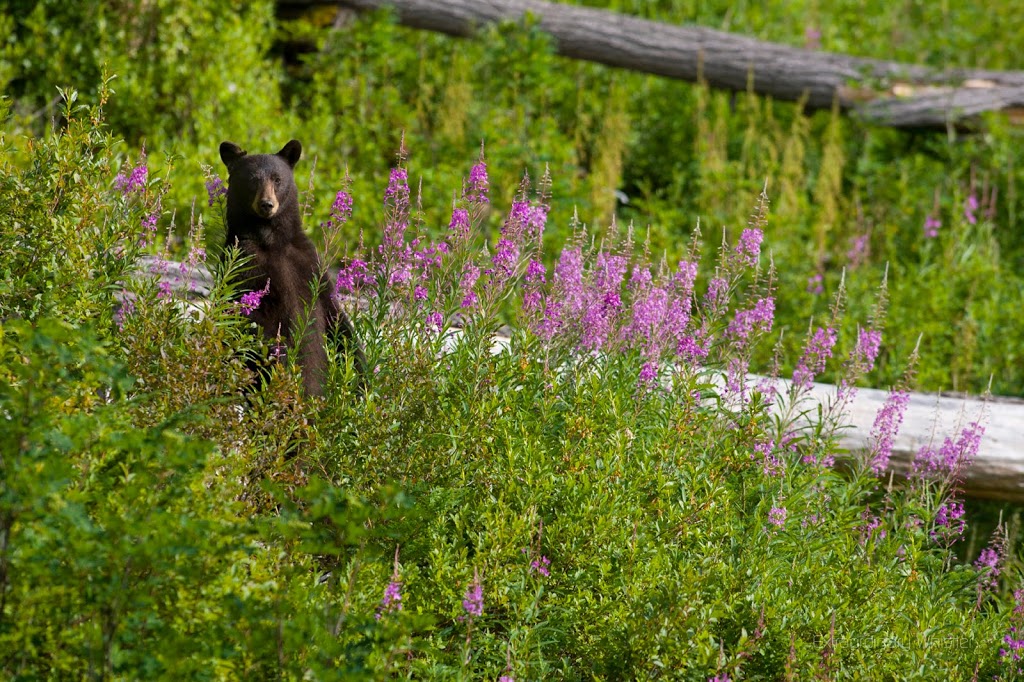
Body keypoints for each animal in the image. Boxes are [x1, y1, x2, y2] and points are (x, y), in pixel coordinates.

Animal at [220, 139, 364, 393]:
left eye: (277, 179)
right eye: (252, 179)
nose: (266, 204)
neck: (271, 241)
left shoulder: (310, 263)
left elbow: (336, 315)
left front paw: (364, 371)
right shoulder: (242, 263)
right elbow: (252, 316)